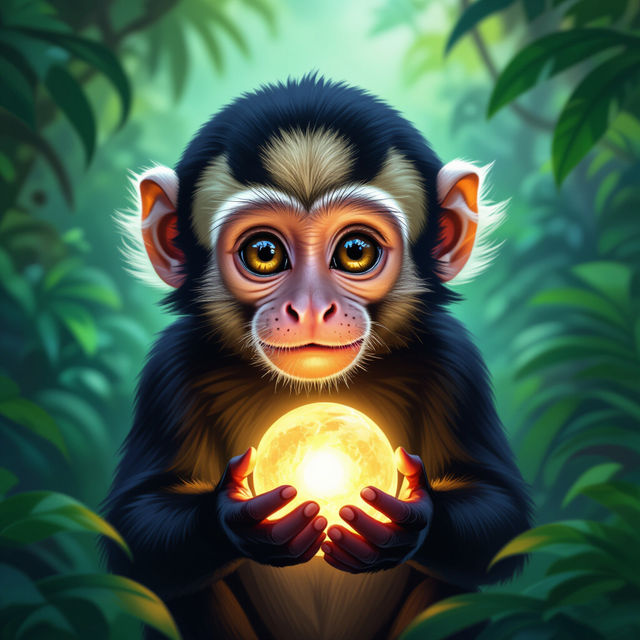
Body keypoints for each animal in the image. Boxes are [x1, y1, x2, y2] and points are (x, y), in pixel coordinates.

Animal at [105, 75, 532, 640]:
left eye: (355, 250)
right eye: (264, 253)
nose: (310, 306)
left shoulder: (455, 360)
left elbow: (500, 516)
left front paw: (413, 520)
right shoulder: (170, 368)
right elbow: (135, 530)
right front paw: (235, 520)